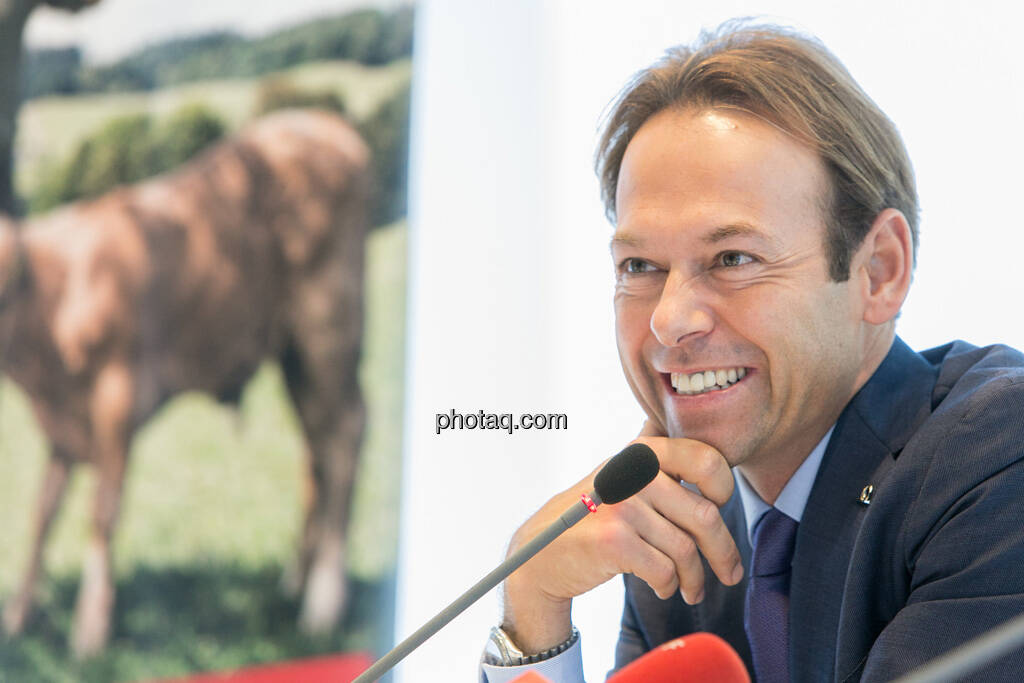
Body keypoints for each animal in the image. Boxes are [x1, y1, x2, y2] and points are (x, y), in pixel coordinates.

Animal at [0, 109, 370, 659]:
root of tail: (319, 120)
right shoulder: (63, 423)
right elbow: (43, 514)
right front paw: (18, 615)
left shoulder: (117, 396)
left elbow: (102, 510)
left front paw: (90, 629)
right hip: (293, 353)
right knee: (316, 447)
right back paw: (295, 579)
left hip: (329, 329)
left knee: (344, 437)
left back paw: (322, 603)